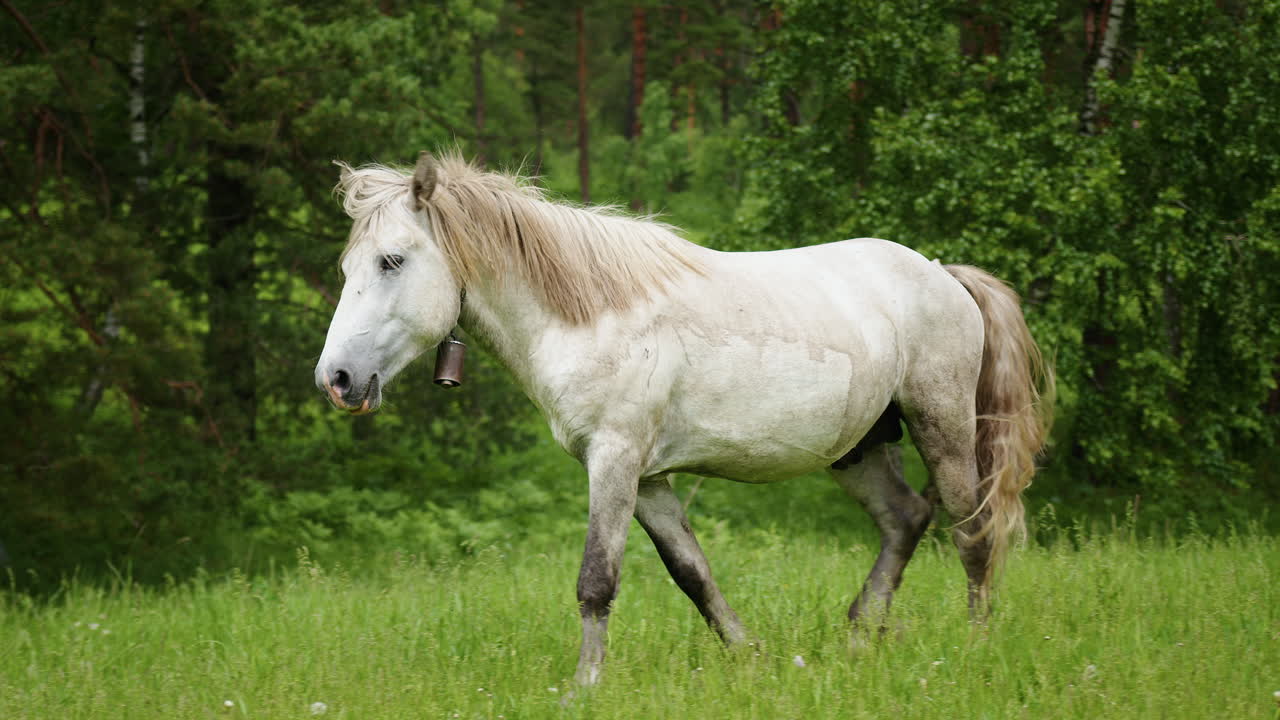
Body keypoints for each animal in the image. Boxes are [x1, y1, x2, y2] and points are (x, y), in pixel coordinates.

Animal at [314, 151, 1052, 686]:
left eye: (392, 260)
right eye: (350, 264)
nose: (337, 379)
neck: (588, 313)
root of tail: (943, 274)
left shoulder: (614, 461)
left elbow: (597, 581)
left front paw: (584, 688)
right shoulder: (649, 479)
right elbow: (692, 573)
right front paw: (751, 657)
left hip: (942, 426)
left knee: (972, 531)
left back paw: (975, 645)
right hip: (860, 447)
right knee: (906, 518)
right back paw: (858, 634)